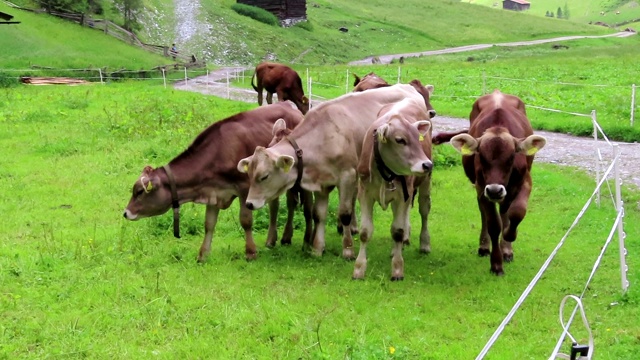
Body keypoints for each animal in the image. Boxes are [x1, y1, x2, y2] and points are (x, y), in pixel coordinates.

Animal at [123, 101, 310, 262]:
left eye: (139, 192)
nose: (125, 213)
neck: (219, 152)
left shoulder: (244, 188)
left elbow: (245, 221)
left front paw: (250, 252)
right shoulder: (212, 191)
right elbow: (209, 224)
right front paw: (203, 255)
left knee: (291, 203)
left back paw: (286, 237)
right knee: (274, 205)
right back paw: (271, 239)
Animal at [235, 83, 430, 260]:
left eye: (264, 176)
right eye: (249, 175)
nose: (249, 203)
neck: (323, 137)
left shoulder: (347, 176)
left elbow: (344, 213)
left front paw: (348, 250)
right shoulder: (322, 182)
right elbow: (318, 214)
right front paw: (317, 248)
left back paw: (411, 240)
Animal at [352, 96, 432, 282]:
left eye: (419, 139)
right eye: (400, 140)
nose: (427, 164)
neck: (384, 172)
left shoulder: (403, 195)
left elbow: (398, 231)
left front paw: (397, 269)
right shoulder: (364, 194)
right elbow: (365, 232)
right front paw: (359, 269)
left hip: (424, 185)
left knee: (424, 212)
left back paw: (424, 244)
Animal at [448, 90, 548, 276]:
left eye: (511, 157)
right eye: (481, 156)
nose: (495, 190)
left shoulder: (525, 181)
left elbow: (517, 212)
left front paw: (508, 237)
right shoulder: (482, 187)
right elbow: (494, 224)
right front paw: (496, 264)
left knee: (505, 210)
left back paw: (507, 249)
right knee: (485, 214)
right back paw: (484, 246)